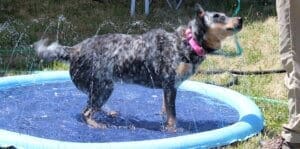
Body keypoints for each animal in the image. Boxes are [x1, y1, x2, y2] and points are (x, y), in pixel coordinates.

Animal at [34, 3, 243, 132]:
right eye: (218, 16)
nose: (240, 19)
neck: (189, 42)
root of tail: (74, 49)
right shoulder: (170, 85)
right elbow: (172, 116)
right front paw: (173, 130)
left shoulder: (169, 88)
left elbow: (166, 109)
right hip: (104, 85)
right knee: (86, 112)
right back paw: (96, 124)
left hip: (99, 86)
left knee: (92, 103)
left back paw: (107, 111)